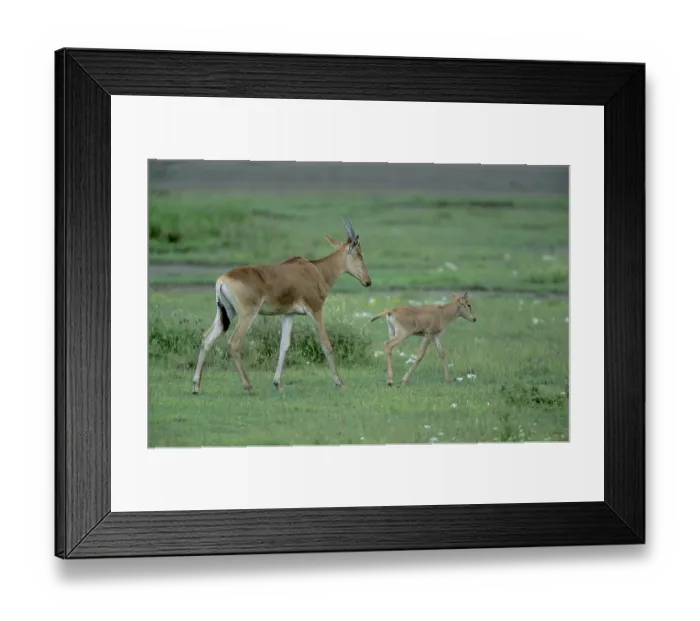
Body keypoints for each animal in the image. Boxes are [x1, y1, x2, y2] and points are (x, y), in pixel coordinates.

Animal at [192, 218, 372, 394]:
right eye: (359, 253)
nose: (368, 281)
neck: (315, 270)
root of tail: (223, 279)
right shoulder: (315, 310)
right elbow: (326, 344)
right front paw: (340, 382)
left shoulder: (288, 314)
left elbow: (284, 345)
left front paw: (278, 383)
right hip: (247, 314)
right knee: (233, 343)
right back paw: (248, 385)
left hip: (225, 313)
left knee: (207, 339)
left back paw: (196, 386)